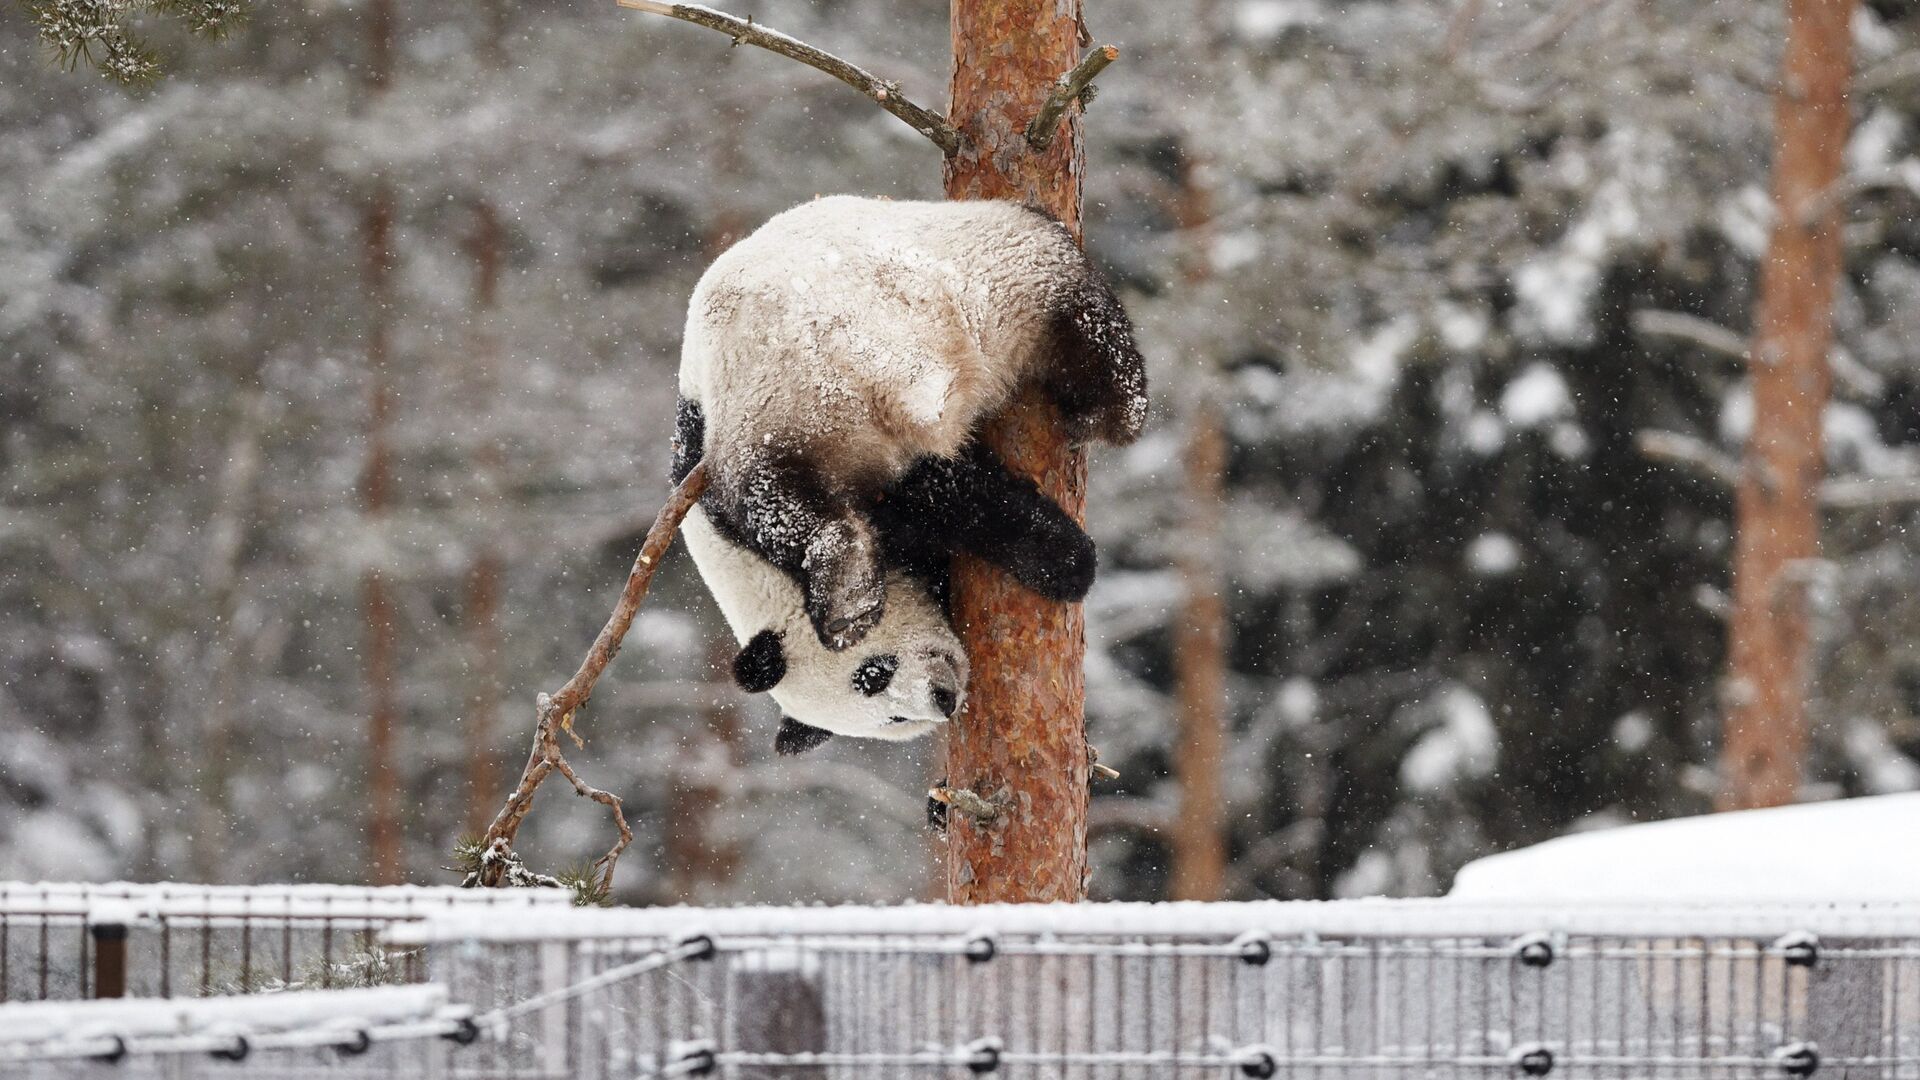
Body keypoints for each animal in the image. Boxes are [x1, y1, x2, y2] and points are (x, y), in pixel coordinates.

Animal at [672, 193, 1136, 749]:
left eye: (874, 673)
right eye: (892, 716)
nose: (943, 700)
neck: (753, 580)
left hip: (768, 398)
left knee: (789, 497)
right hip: (979, 287)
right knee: (1075, 322)